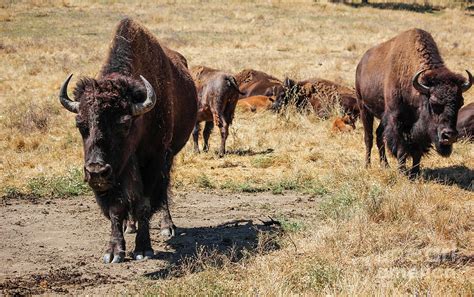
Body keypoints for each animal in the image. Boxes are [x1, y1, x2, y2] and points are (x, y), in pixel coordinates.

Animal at [57, 17, 198, 262]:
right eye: (80, 124)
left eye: (124, 123)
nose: (96, 171)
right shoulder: (117, 174)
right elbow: (117, 207)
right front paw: (113, 252)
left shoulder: (153, 161)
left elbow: (144, 203)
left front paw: (143, 249)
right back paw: (129, 226)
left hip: (169, 156)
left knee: (163, 193)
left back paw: (167, 227)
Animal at [358, 27, 472, 176]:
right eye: (434, 103)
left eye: (461, 103)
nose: (450, 136)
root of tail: (361, 63)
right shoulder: (396, 120)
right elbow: (401, 148)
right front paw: (402, 172)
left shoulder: (419, 129)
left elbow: (417, 150)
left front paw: (415, 172)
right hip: (364, 108)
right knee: (369, 138)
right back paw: (367, 165)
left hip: (382, 117)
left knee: (379, 136)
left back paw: (386, 165)